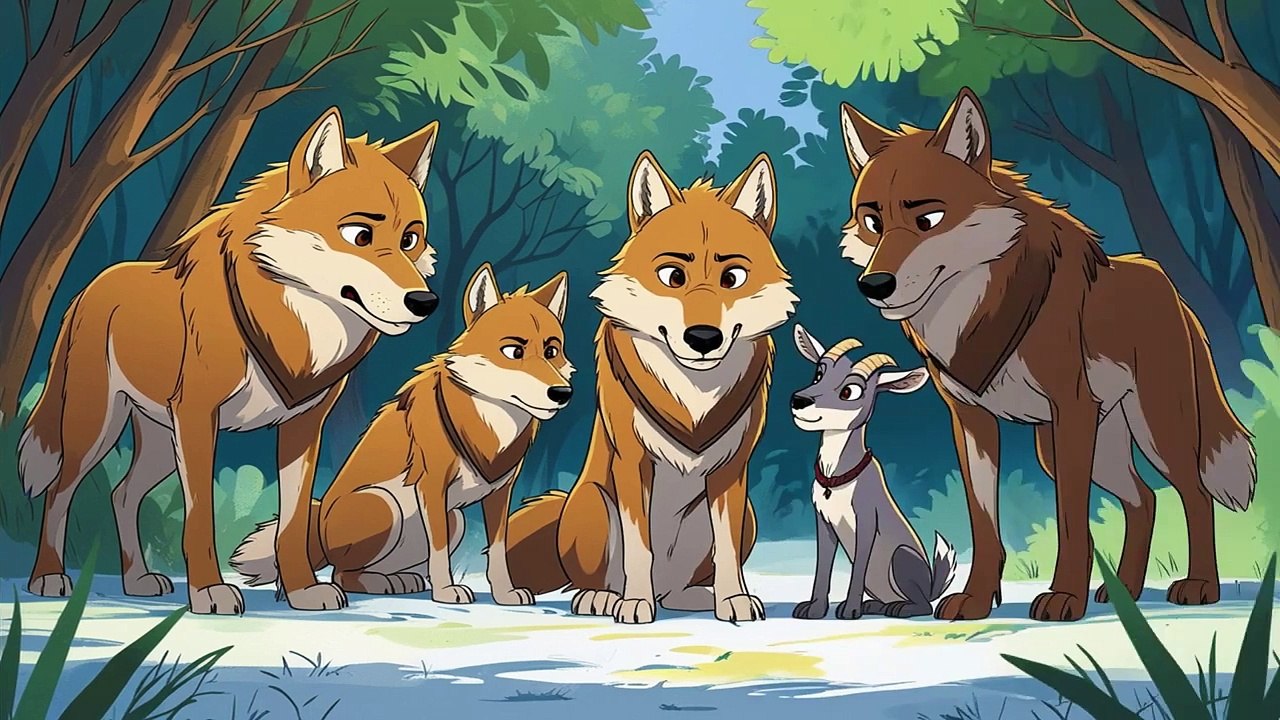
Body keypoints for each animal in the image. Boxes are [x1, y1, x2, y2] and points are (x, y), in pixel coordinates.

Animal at [18, 107, 442, 614]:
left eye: (411, 238)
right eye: (360, 235)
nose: (425, 302)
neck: (291, 325)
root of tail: (88, 288)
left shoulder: (302, 427)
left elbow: (292, 524)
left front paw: (301, 590)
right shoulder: (199, 418)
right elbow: (200, 518)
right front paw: (208, 592)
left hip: (159, 444)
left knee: (122, 494)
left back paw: (137, 580)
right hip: (96, 430)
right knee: (60, 491)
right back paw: (48, 577)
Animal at [232, 264, 573, 606]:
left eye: (551, 351)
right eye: (514, 351)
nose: (562, 393)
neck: (492, 424)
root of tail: (316, 528)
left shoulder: (500, 491)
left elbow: (498, 552)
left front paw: (504, 593)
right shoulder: (432, 486)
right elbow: (440, 552)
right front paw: (446, 592)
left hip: (455, 520)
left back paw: (403, 579)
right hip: (384, 505)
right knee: (343, 574)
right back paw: (383, 583)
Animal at [503, 150, 798, 624]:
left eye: (732, 277)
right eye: (672, 276)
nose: (703, 338)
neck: (694, 393)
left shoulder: (732, 471)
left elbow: (728, 550)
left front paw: (732, 599)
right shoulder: (633, 463)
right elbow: (638, 548)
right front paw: (634, 603)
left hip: (745, 517)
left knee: (681, 585)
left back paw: (694, 597)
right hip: (594, 504)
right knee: (602, 577)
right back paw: (604, 598)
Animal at [788, 323, 955, 620]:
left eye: (850, 391)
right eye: (818, 373)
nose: (799, 400)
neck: (836, 478)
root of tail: (930, 585)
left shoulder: (866, 522)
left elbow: (858, 566)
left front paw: (850, 610)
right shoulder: (823, 523)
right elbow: (822, 566)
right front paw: (814, 609)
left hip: (900, 557)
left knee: (924, 605)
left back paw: (899, 608)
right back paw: (877, 605)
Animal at [837, 86, 1257, 622]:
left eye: (928, 219)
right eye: (873, 222)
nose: (874, 284)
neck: (979, 309)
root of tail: (1168, 286)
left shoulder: (1071, 410)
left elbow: (1071, 522)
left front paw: (1065, 598)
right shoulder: (972, 421)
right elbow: (985, 525)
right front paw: (976, 600)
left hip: (1154, 432)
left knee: (1194, 495)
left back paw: (1200, 585)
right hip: (1071, 447)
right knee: (1143, 501)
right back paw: (1126, 590)